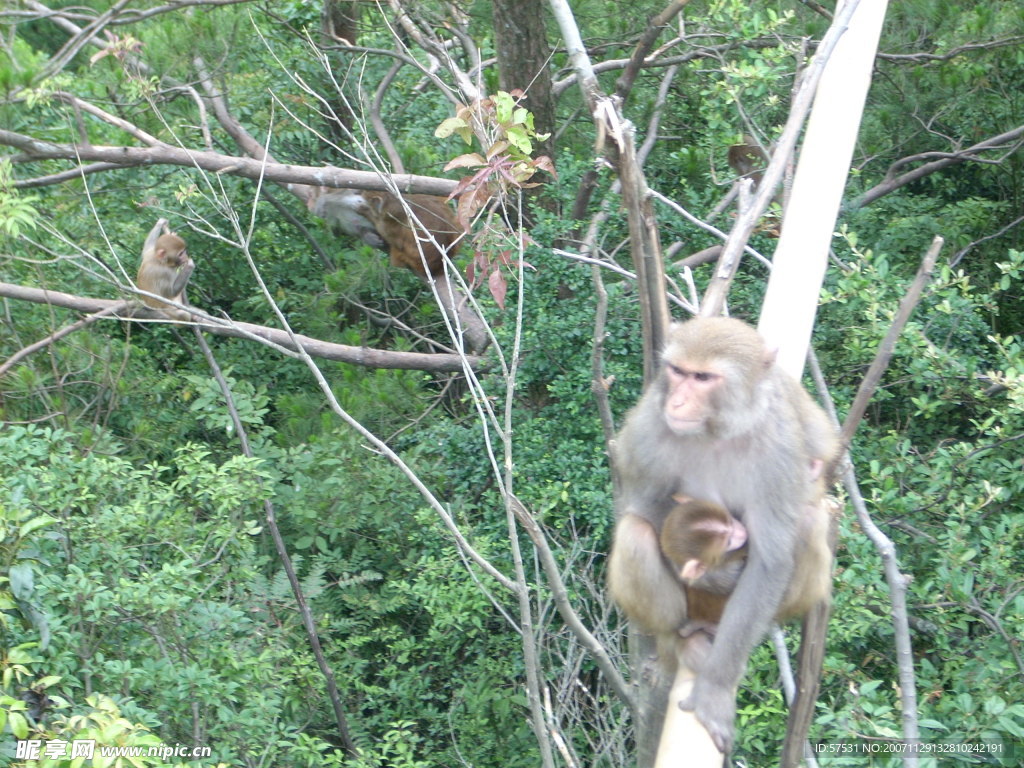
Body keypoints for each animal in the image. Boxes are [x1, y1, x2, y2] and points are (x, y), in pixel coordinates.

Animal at [606, 317, 839, 757]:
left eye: (703, 377)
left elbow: (770, 561)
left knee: (808, 521)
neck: (716, 432)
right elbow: (644, 504)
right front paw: (713, 573)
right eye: (678, 371)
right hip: (685, 608)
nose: (678, 402)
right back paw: (679, 640)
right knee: (636, 533)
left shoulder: (778, 448)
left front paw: (715, 690)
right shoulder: (649, 429)